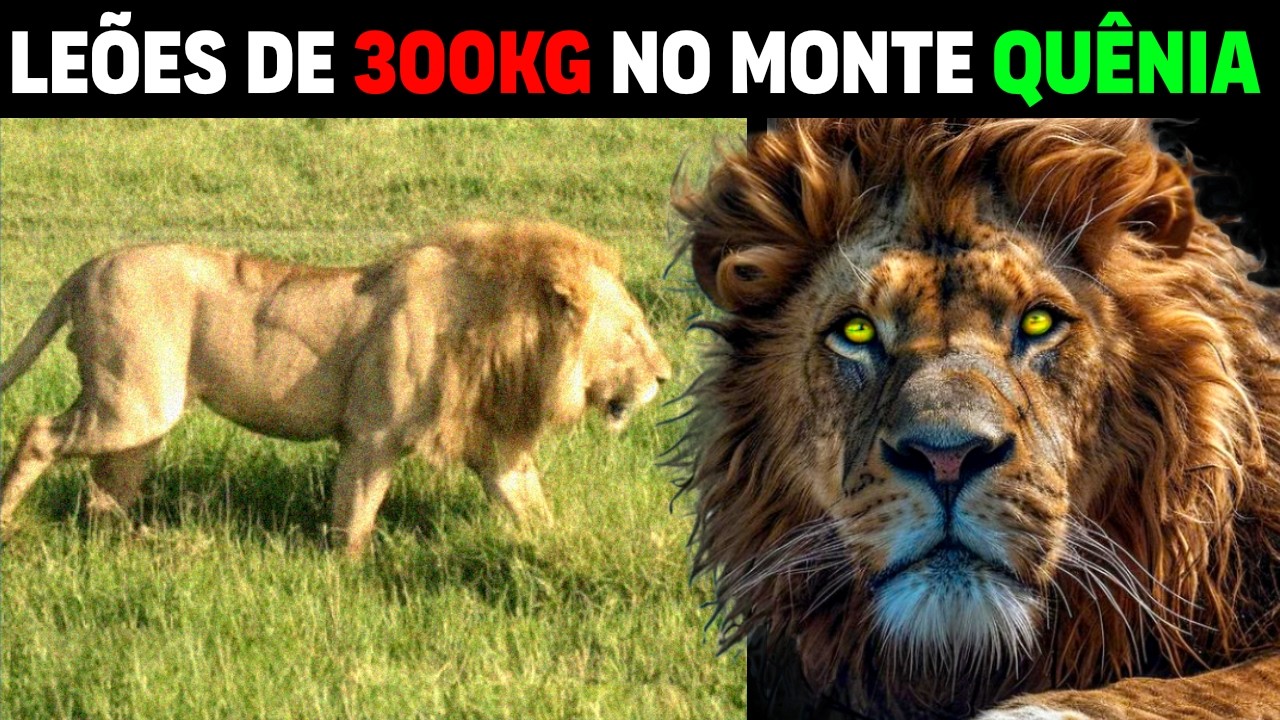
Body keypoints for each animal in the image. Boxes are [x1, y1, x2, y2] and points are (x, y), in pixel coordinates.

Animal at [0, 220, 671, 556]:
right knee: (38, 433)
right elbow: (356, 517)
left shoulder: (495, 447)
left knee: (105, 486)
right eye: (631, 330)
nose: (665, 377)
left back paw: (134, 545)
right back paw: (10, 525)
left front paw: (564, 549)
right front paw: (350, 577)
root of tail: (87, 268)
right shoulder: (371, 435)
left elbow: (533, 510)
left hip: (140, 413)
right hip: (133, 402)